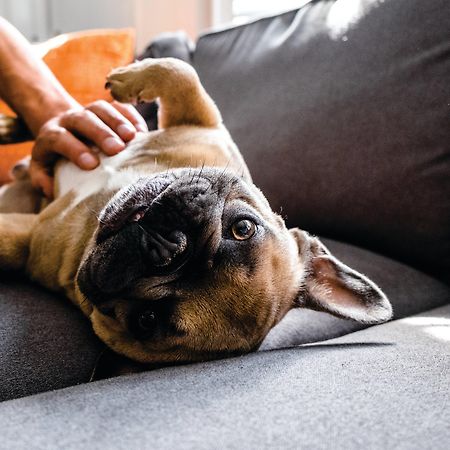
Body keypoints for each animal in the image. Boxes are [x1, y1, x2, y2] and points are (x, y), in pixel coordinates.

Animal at [0, 58, 390, 364]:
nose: (171, 247)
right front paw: (128, 79)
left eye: (147, 320)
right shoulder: (205, 124)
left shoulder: (31, 238)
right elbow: (182, 73)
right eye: (243, 228)